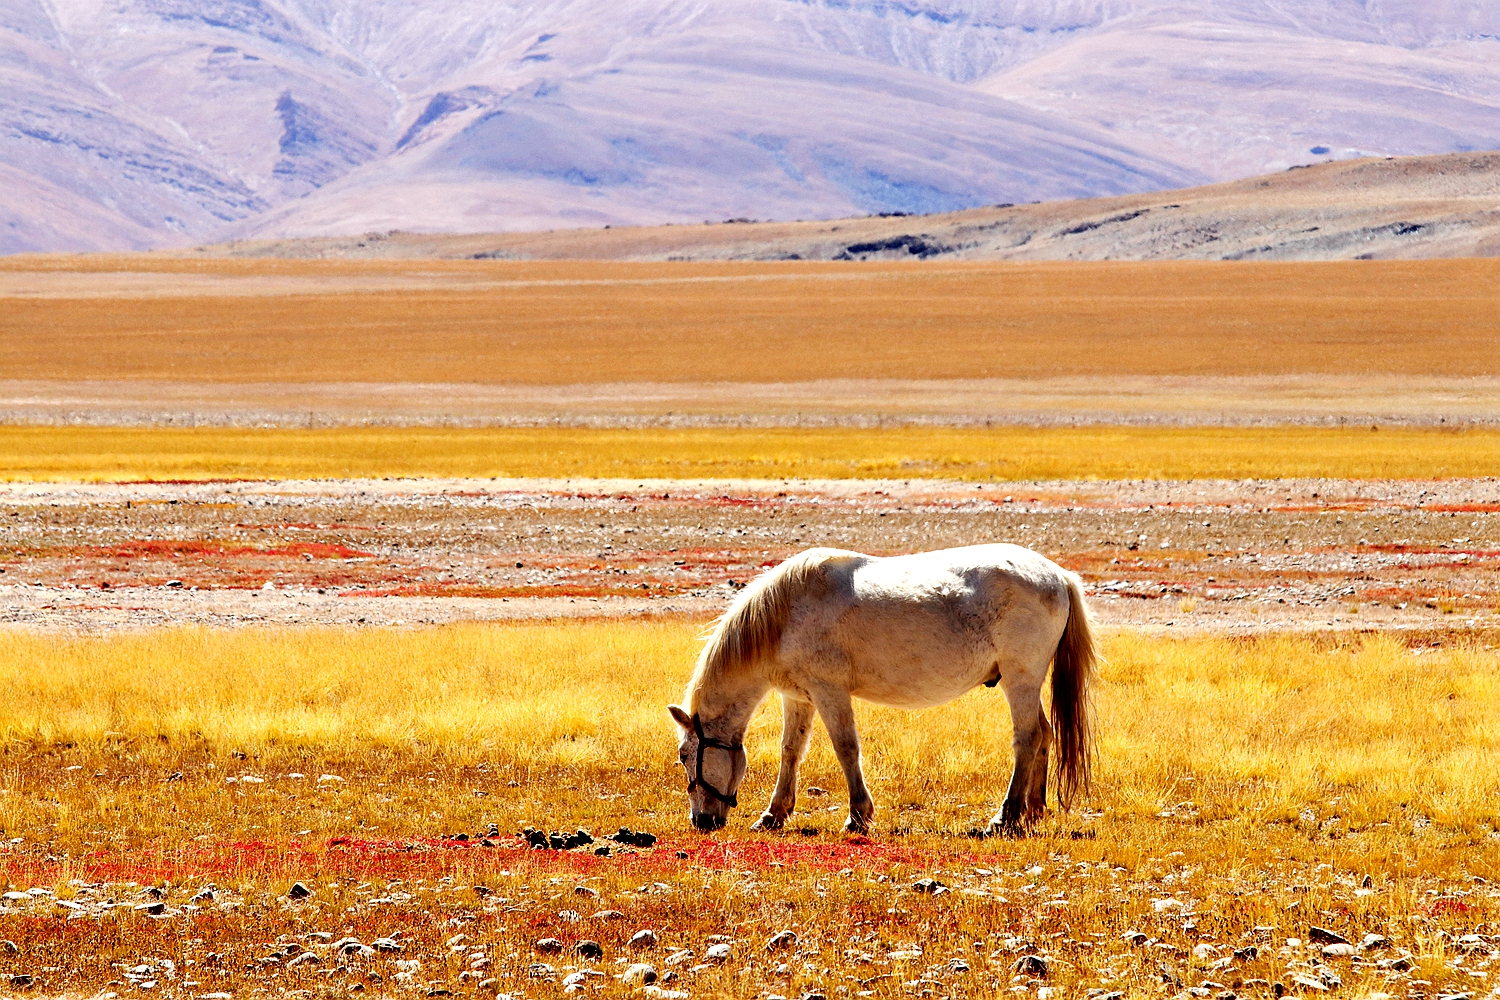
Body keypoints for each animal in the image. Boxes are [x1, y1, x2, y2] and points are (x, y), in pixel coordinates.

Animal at [675, 542, 1098, 833]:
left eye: (683, 755)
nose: (701, 821)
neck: (785, 615)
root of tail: (1058, 576)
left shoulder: (829, 692)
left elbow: (846, 748)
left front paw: (858, 816)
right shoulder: (798, 697)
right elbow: (791, 752)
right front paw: (774, 814)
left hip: (1019, 678)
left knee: (1027, 737)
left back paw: (1006, 816)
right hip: (1026, 682)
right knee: (1044, 733)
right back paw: (1034, 809)